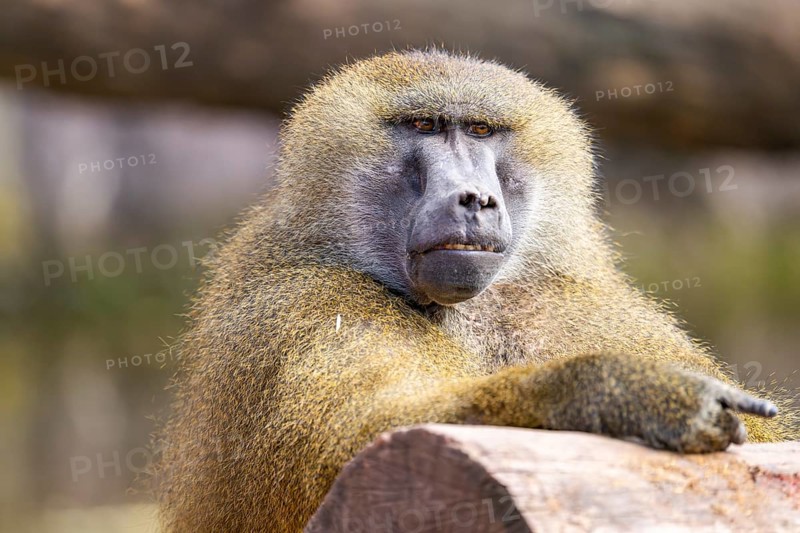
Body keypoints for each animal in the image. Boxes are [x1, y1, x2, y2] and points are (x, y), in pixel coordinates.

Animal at [155, 50, 798, 532]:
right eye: (424, 126)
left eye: (481, 130)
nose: (475, 199)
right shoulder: (300, 304)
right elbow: (372, 440)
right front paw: (612, 391)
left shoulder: (559, 304)